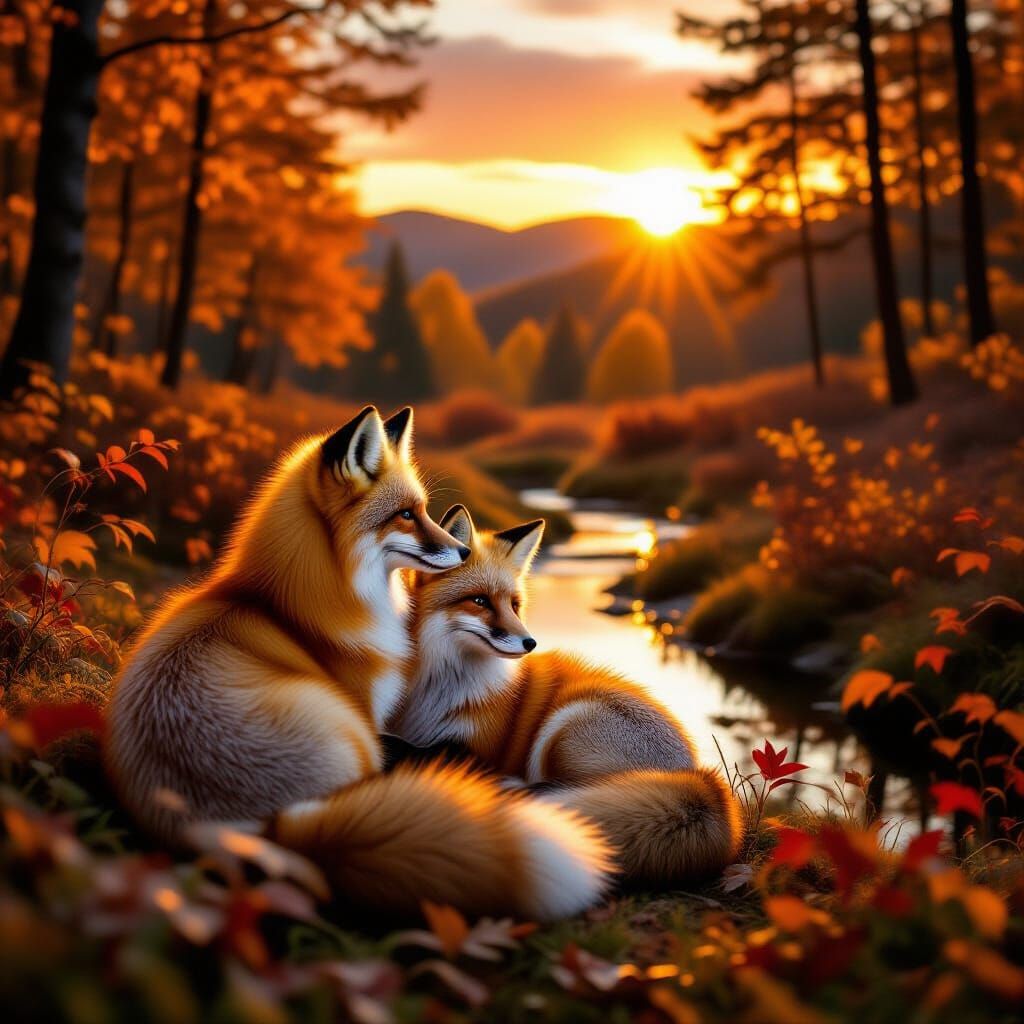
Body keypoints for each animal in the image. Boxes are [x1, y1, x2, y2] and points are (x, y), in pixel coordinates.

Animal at [105, 406, 612, 920]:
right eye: (407, 514)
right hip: (356, 738)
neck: (294, 606)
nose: (465, 552)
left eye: (424, 509)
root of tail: (260, 834)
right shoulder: (370, 709)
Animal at [395, 504, 744, 886]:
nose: (530, 643)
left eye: (514, 605)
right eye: (479, 601)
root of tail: (700, 778)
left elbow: (429, 750)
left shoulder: (475, 744)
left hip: (564, 725)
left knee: (574, 786)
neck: (440, 682)